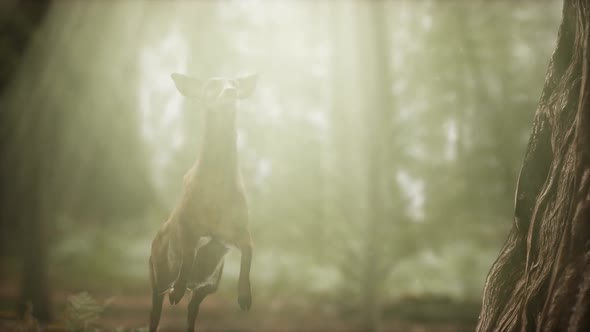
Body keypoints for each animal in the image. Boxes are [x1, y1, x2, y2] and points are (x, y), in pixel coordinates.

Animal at [148, 72, 256, 332]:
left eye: (235, 84)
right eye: (211, 85)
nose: (230, 92)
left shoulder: (237, 230)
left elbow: (249, 252)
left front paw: (245, 298)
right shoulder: (186, 223)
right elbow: (187, 255)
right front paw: (176, 292)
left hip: (209, 286)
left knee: (193, 310)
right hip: (156, 275)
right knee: (155, 313)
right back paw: (174, 293)